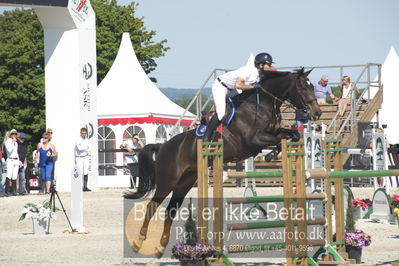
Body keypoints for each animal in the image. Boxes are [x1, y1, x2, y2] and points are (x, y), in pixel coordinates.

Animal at [125, 67, 322, 256]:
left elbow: (292, 134)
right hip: (168, 181)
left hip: (184, 183)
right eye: (303, 88)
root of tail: (163, 145)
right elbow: (276, 139)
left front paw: (272, 154)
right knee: (152, 206)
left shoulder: (273, 133)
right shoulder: (254, 139)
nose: (317, 113)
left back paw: (161, 246)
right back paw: (139, 242)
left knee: (170, 210)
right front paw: (269, 155)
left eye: (312, 86)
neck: (261, 106)